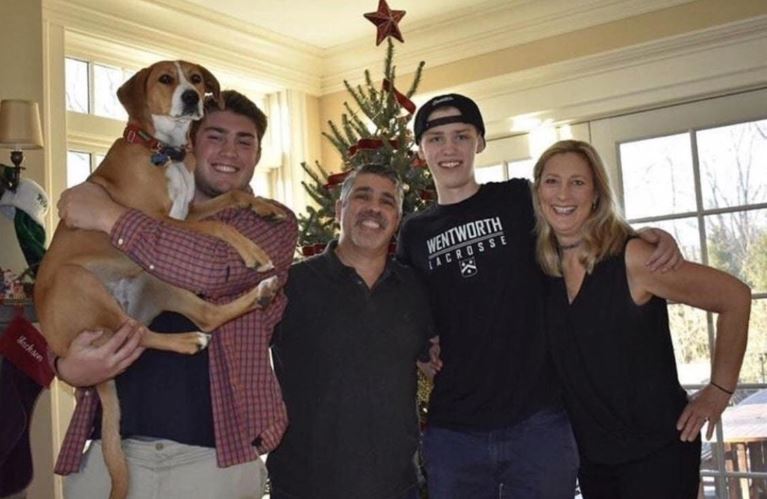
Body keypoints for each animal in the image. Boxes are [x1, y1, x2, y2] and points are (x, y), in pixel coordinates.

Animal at [33, 61, 288, 499]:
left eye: (197, 79)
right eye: (166, 79)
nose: (191, 97)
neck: (164, 151)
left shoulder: (189, 212)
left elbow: (233, 199)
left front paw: (266, 207)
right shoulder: (161, 219)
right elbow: (221, 228)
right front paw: (253, 251)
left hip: (158, 282)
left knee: (202, 317)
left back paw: (261, 294)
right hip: (78, 281)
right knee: (137, 335)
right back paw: (188, 340)